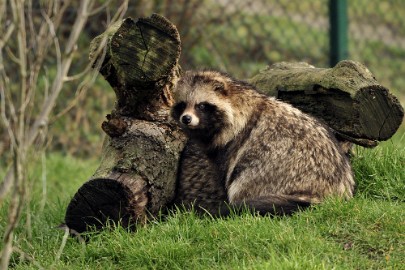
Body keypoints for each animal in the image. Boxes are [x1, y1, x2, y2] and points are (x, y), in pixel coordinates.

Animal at [170, 70, 354, 217]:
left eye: (201, 106)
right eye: (183, 105)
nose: (186, 118)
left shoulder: (234, 143)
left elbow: (224, 176)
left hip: (274, 170)